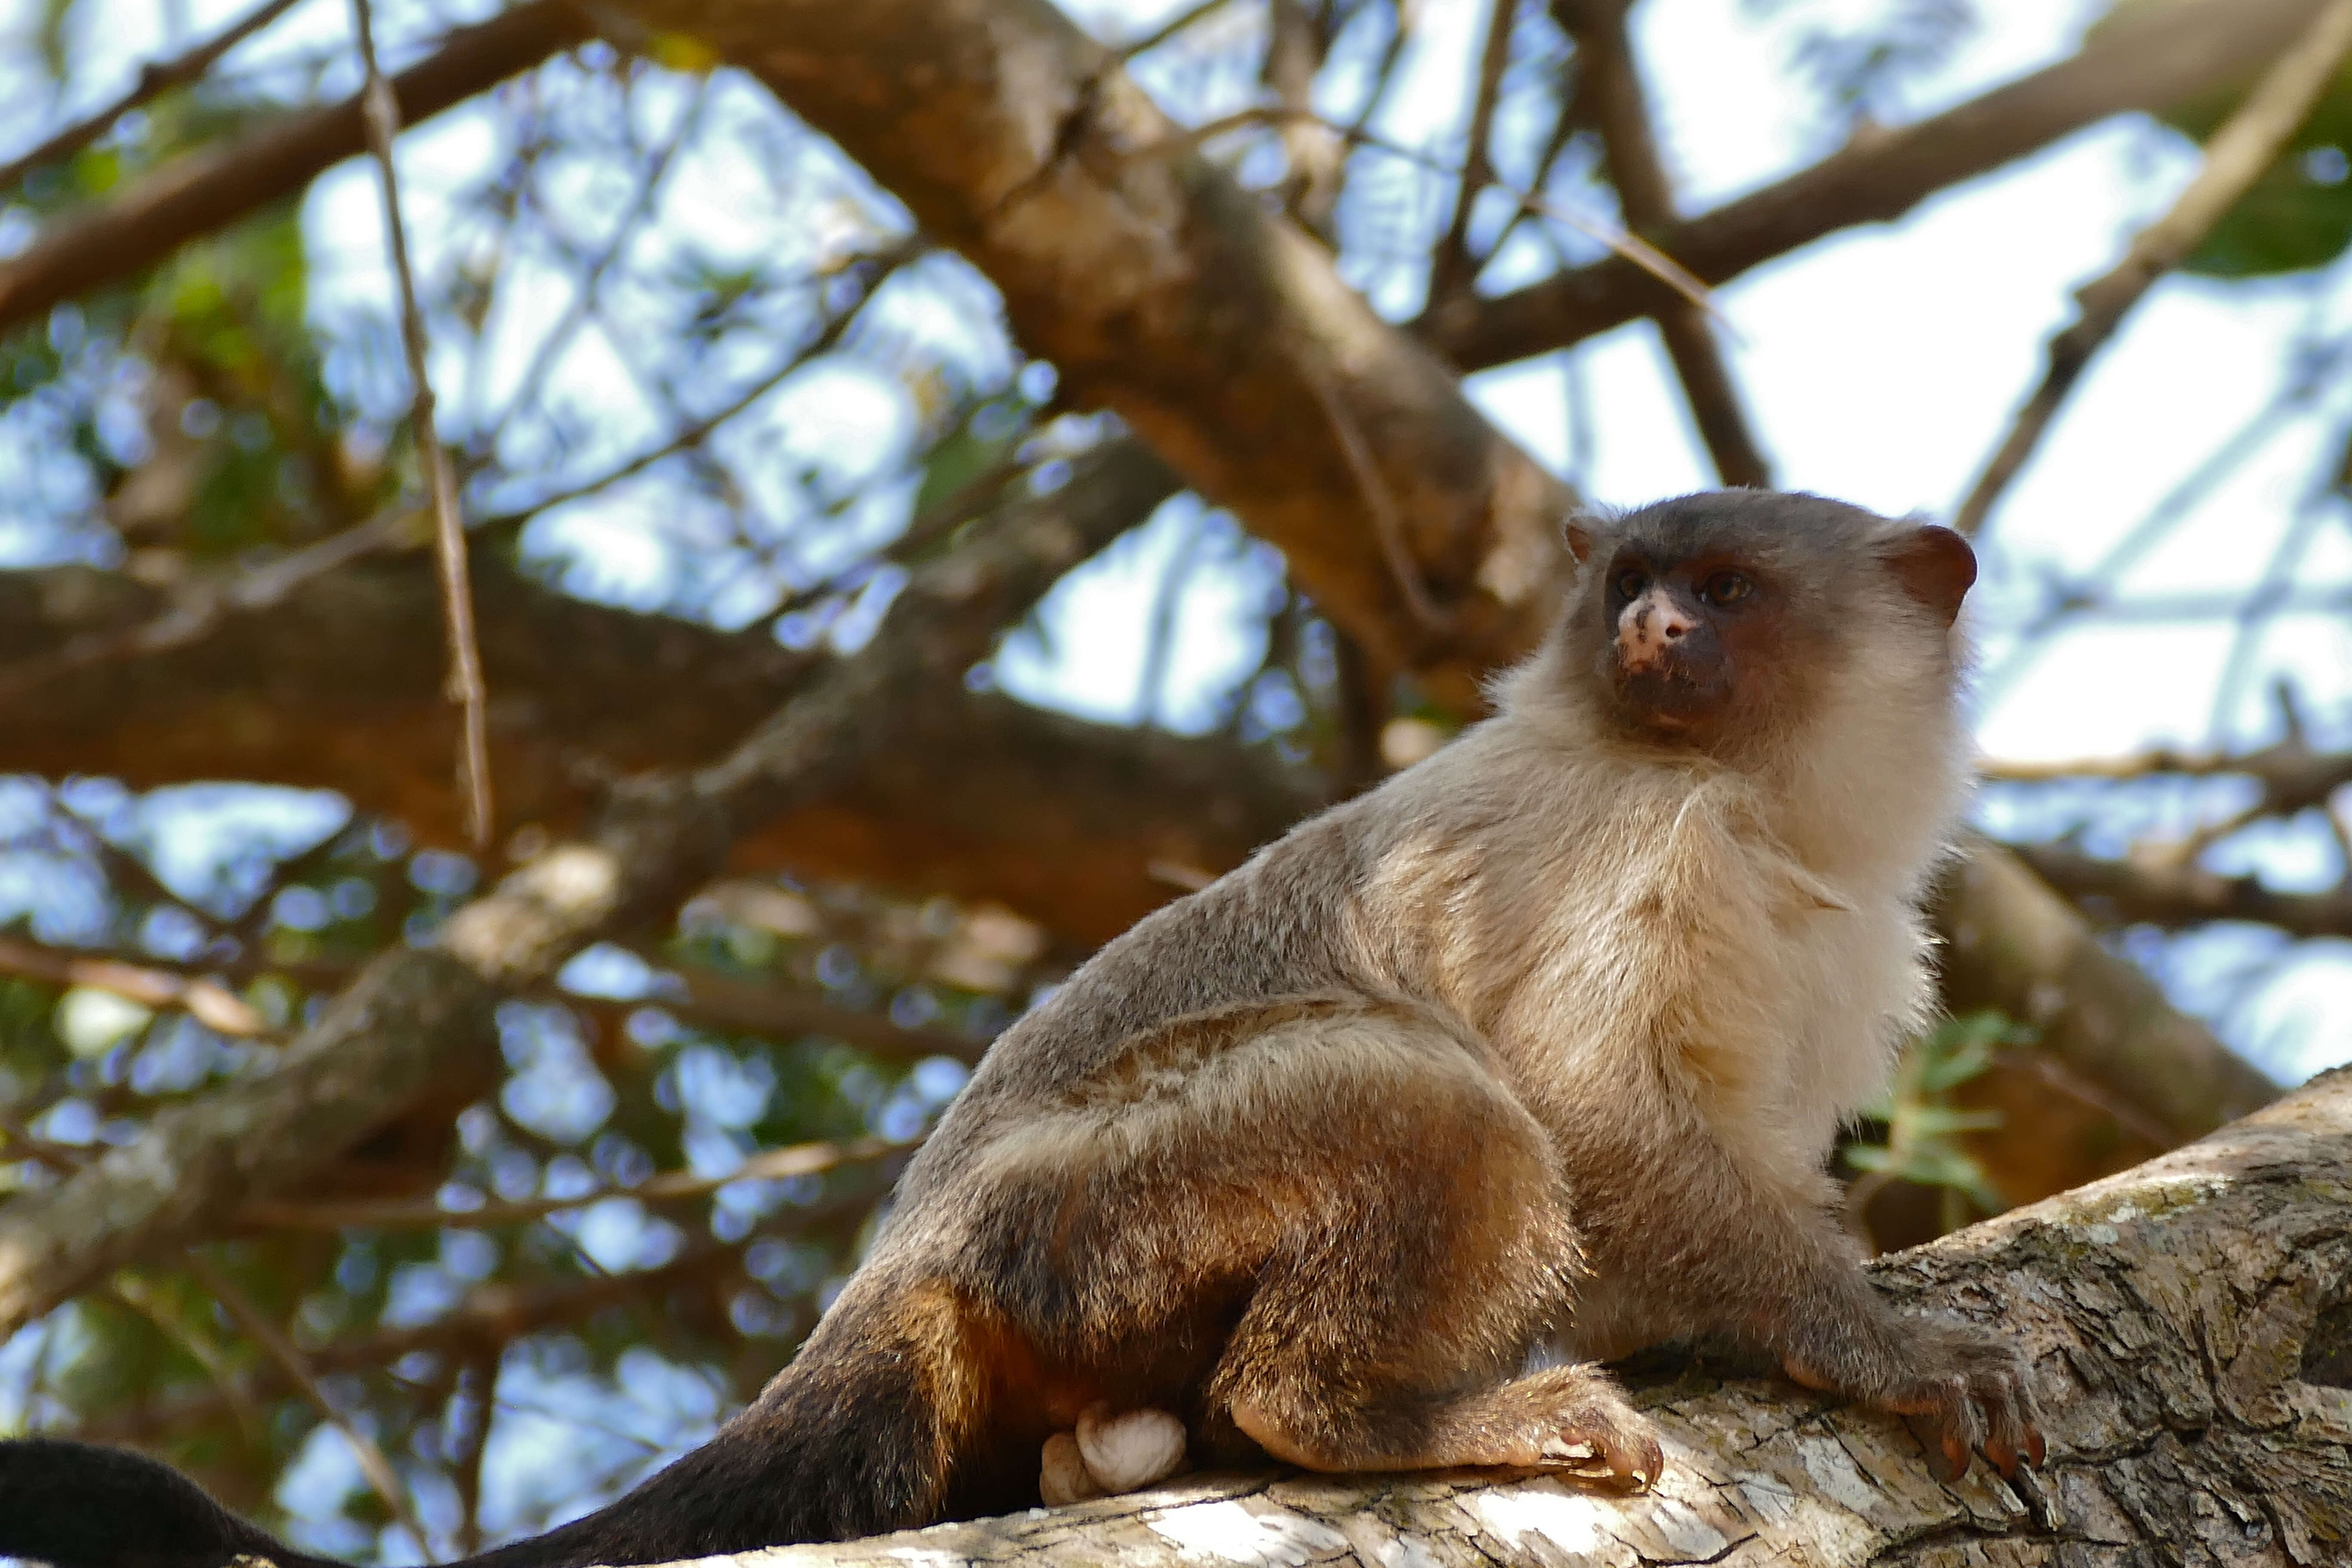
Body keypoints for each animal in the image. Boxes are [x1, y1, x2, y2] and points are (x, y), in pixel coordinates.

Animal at [0, 491, 2041, 1568]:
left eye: (1725, 591)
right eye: (1636, 584)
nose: (1648, 640)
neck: (1762, 814)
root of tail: (893, 1269)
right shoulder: (1613, 850)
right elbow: (1591, 1120)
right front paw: (1875, 1347)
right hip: (1090, 1211)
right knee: (1442, 1102)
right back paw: (1363, 1413)